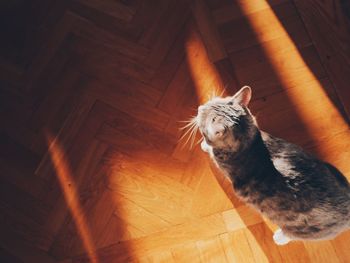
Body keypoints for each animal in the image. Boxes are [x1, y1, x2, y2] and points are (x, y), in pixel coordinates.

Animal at [196, 86, 350, 245]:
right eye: (209, 103)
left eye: (202, 116)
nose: (199, 107)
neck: (250, 142)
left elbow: (211, 149)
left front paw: (205, 145)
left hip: (302, 229)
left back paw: (280, 238)